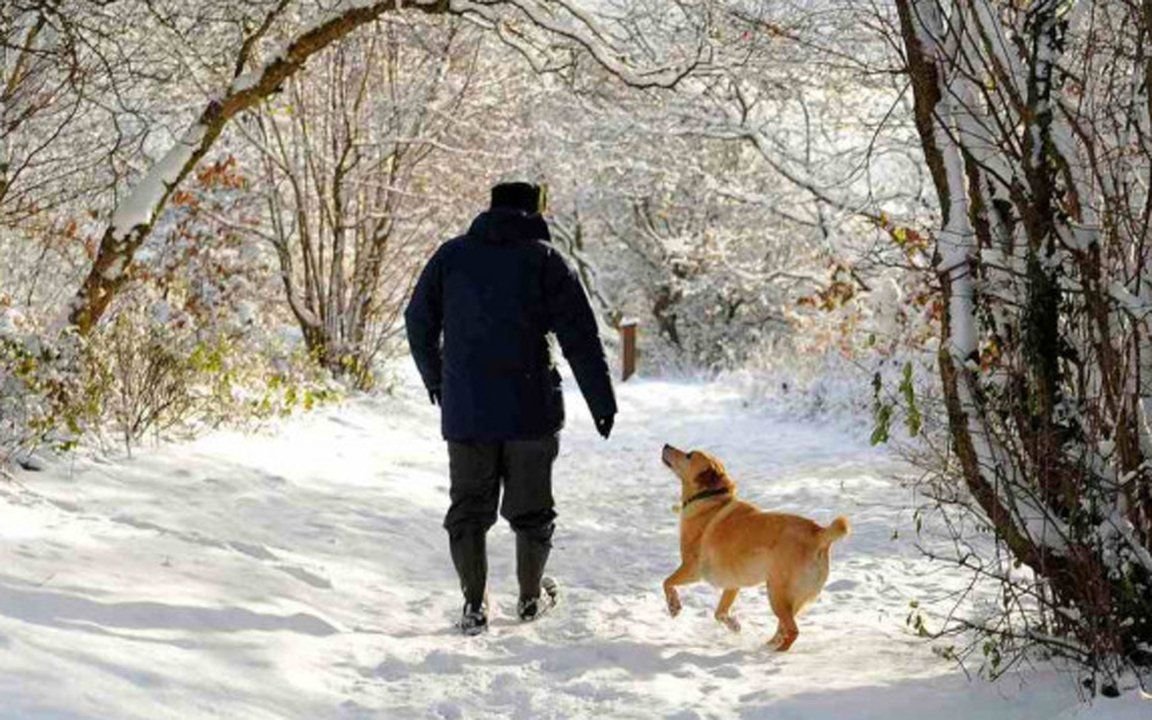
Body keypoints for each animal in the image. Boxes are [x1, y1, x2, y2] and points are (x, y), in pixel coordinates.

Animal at [658, 444, 847, 649]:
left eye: (689, 455)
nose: (666, 445)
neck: (711, 497)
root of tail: (819, 533)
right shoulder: (732, 584)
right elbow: (720, 613)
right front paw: (734, 625)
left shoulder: (692, 569)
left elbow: (666, 582)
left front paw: (673, 606)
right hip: (791, 599)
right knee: (783, 628)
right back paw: (768, 645)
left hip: (776, 594)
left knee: (792, 631)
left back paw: (775, 652)